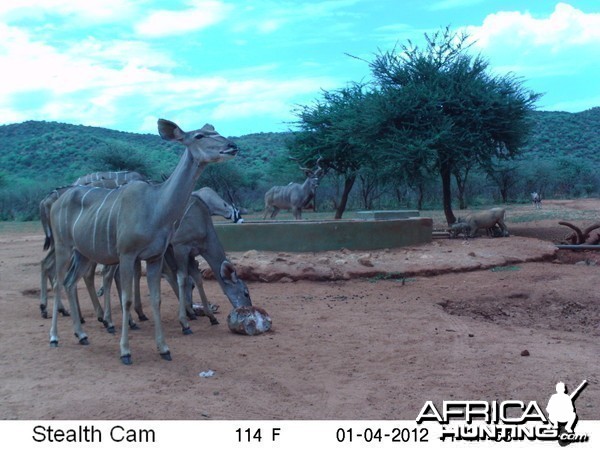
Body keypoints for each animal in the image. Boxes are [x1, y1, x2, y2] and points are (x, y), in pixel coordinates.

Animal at [49, 120, 238, 366]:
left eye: (214, 131)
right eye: (199, 136)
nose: (232, 146)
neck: (156, 205)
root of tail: (55, 202)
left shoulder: (154, 257)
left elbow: (156, 298)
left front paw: (164, 348)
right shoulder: (128, 255)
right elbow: (127, 299)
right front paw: (125, 351)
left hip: (83, 253)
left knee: (71, 282)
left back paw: (81, 335)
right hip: (63, 247)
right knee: (58, 282)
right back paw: (55, 337)